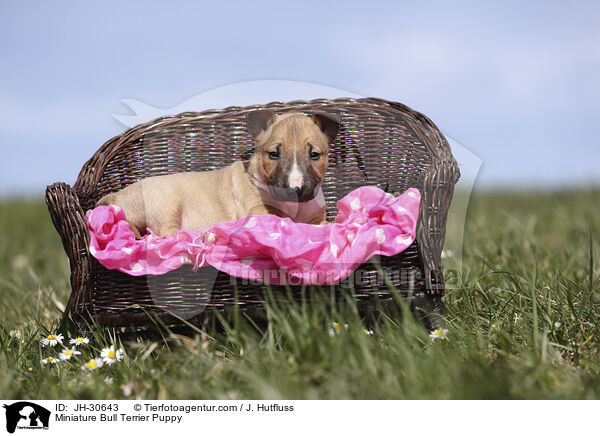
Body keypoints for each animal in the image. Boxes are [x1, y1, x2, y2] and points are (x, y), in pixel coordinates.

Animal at [96, 110, 340, 237]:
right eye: (273, 154)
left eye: (314, 154)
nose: (294, 189)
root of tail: (116, 196)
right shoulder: (257, 210)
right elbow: (280, 219)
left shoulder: (315, 214)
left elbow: (319, 221)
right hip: (165, 201)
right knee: (167, 234)